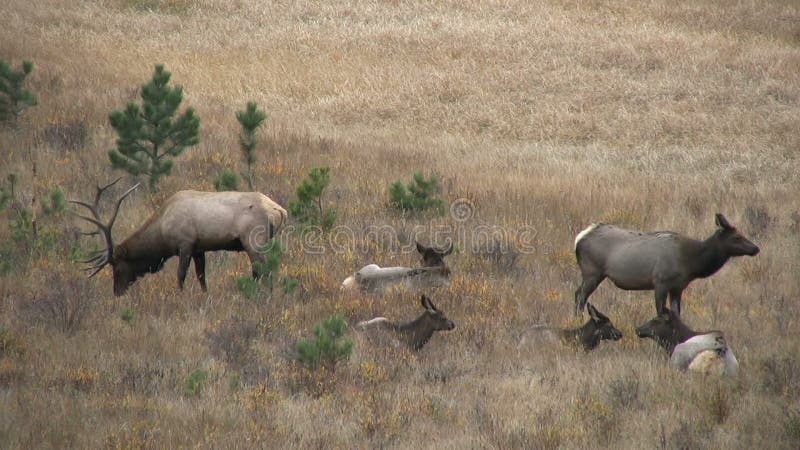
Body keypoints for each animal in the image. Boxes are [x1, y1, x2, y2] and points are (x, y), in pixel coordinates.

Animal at [72, 178, 288, 298]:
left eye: (117, 266)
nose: (117, 292)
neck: (161, 232)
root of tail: (280, 210)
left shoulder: (185, 244)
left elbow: (181, 275)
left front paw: (180, 297)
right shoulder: (199, 248)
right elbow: (201, 276)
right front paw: (204, 296)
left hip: (253, 241)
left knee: (263, 271)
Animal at [576, 212, 756, 314]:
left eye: (742, 233)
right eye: (737, 237)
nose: (756, 248)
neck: (690, 263)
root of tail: (579, 238)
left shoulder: (678, 287)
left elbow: (676, 314)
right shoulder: (661, 281)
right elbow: (661, 313)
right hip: (592, 271)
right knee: (579, 296)